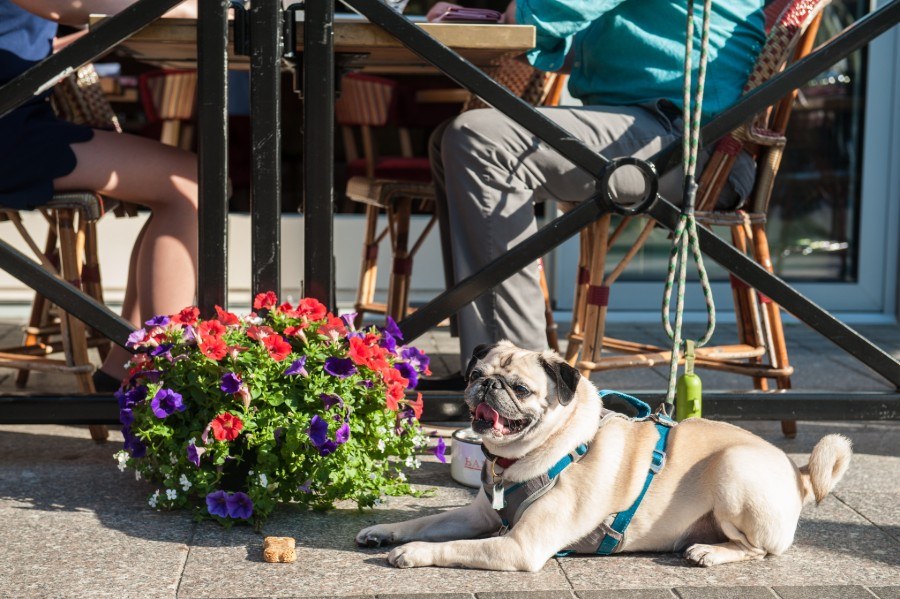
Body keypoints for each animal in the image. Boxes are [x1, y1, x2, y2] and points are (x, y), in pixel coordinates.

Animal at [354, 342, 852, 572]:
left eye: (520, 389)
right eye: (476, 375)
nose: (487, 385)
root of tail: (800, 473)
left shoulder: (516, 546)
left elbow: (452, 546)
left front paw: (412, 552)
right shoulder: (479, 516)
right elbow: (427, 522)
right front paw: (387, 532)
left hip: (734, 469)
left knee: (759, 549)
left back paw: (710, 552)